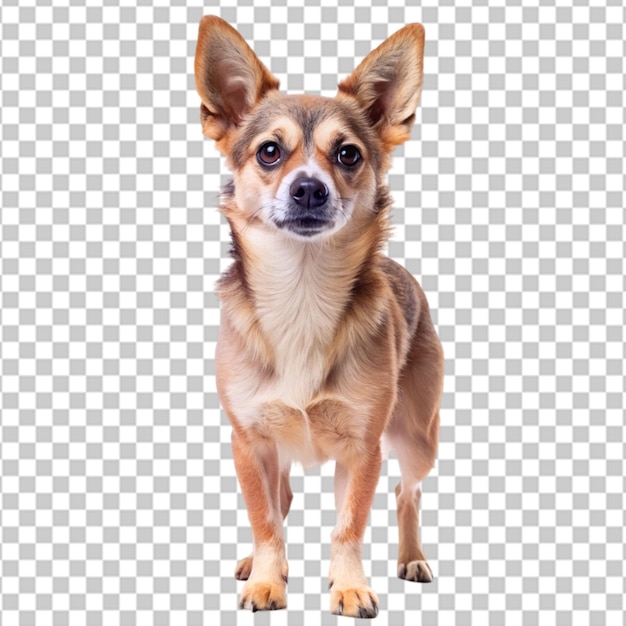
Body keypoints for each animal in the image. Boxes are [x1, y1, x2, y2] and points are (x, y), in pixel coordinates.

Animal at [193, 17, 442, 616]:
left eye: (348, 154)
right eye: (269, 152)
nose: (309, 186)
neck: (302, 293)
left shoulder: (363, 450)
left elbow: (348, 524)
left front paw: (349, 585)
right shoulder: (250, 443)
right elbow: (264, 518)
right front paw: (267, 580)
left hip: (418, 439)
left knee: (407, 491)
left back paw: (412, 558)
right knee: (280, 502)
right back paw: (259, 563)